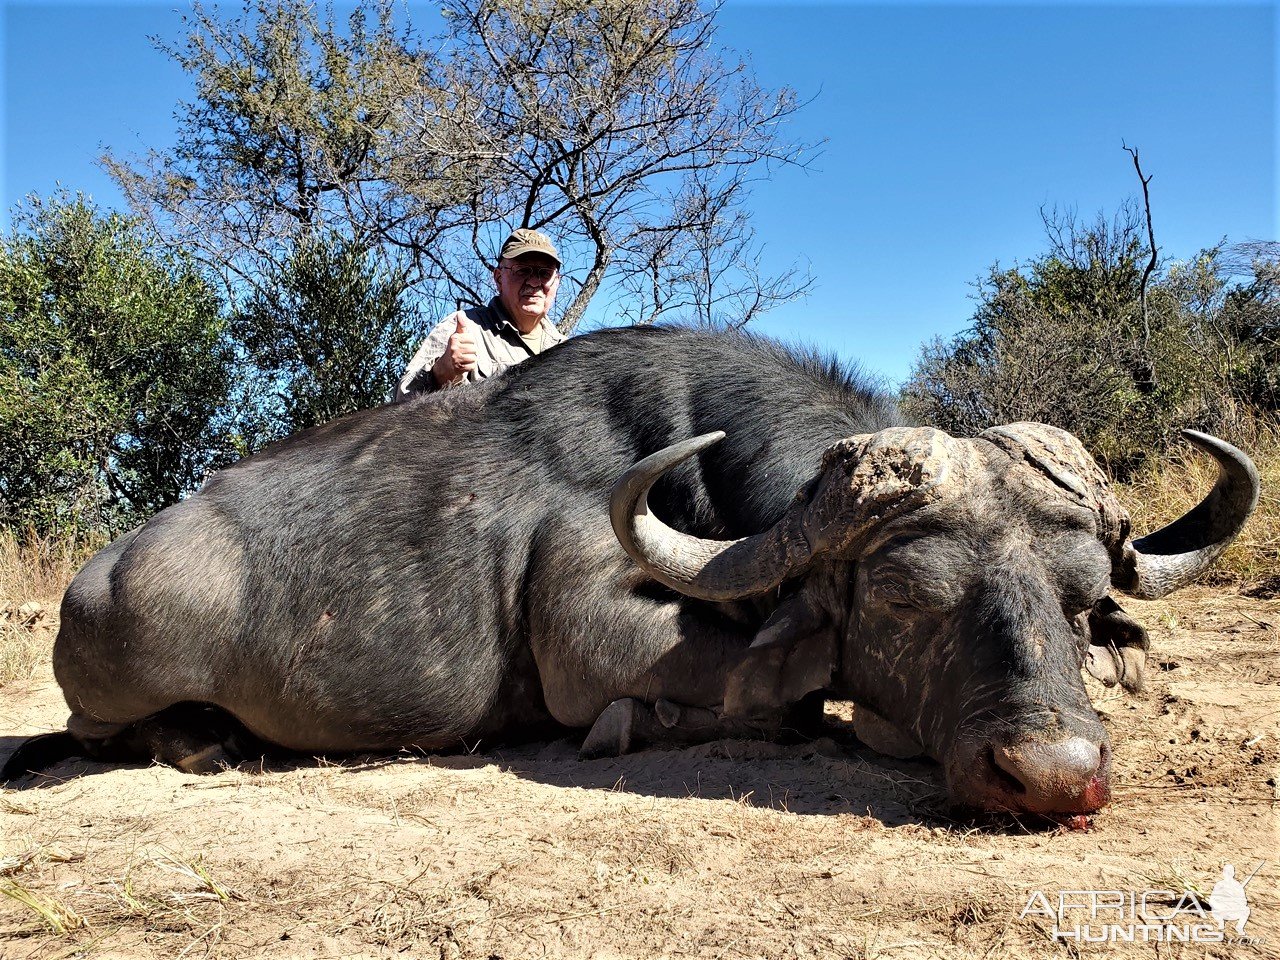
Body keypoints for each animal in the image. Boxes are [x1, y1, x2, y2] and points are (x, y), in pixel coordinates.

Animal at [2, 327, 1259, 814]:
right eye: (905, 600)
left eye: (1081, 603)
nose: (1053, 777)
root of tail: (98, 577)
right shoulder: (593, 641)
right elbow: (768, 695)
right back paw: (205, 742)